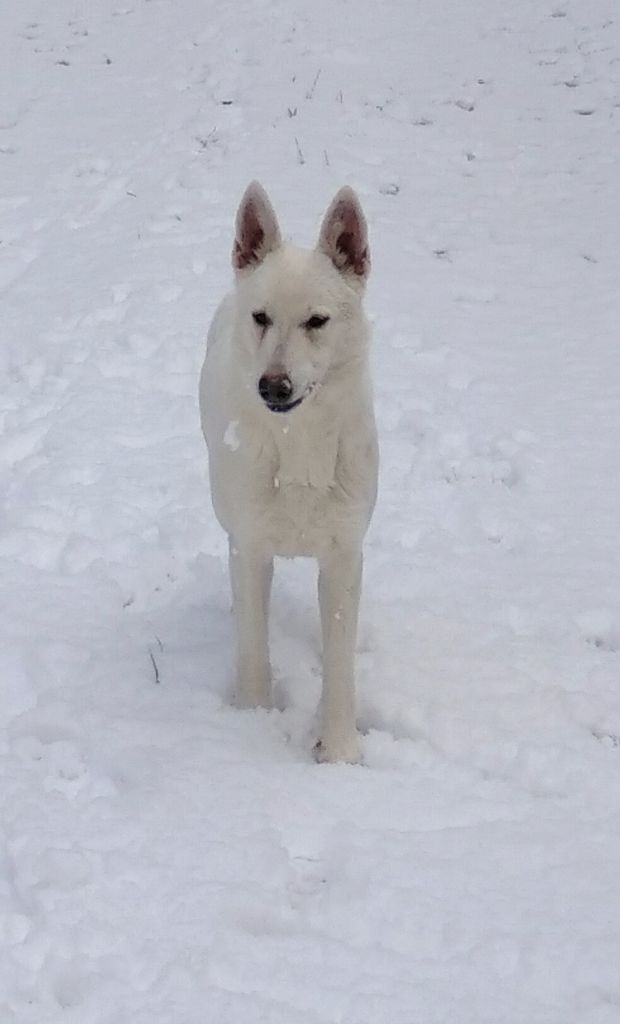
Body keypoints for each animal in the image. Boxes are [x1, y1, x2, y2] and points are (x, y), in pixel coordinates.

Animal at [200, 182, 379, 761]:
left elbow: (340, 664)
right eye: (262, 318)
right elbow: (254, 648)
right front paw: (253, 724)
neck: (298, 448)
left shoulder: (344, 555)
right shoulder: (251, 546)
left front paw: (340, 752)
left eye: (316, 322)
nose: (273, 386)